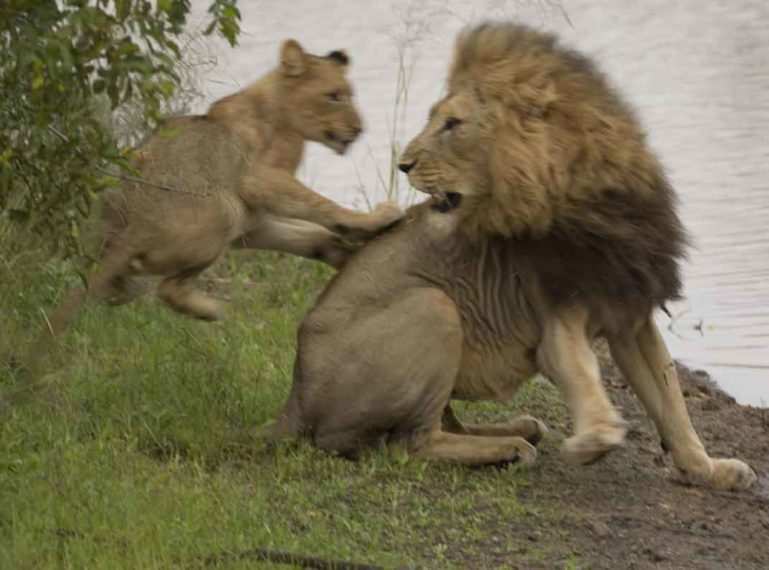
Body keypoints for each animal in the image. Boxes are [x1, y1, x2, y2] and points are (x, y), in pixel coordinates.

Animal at [46, 40, 402, 330]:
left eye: (349, 94)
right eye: (333, 96)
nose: (358, 129)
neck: (284, 119)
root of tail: (132, 226)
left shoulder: (254, 221)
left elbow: (310, 235)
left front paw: (347, 254)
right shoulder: (257, 179)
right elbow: (320, 204)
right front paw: (374, 219)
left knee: (117, 285)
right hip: (223, 209)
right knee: (166, 288)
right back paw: (210, 311)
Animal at [274, 24, 756, 490]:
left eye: (453, 123)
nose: (403, 165)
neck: (591, 197)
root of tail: (293, 400)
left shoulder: (629, 309)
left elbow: (672, 402)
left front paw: (710, 470)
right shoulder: (556, 314)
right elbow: (582, 371)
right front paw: (594, 440)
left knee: (439, 425)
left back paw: (518, 429)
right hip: (434, 305)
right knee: (411, 442)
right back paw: (508, 448)